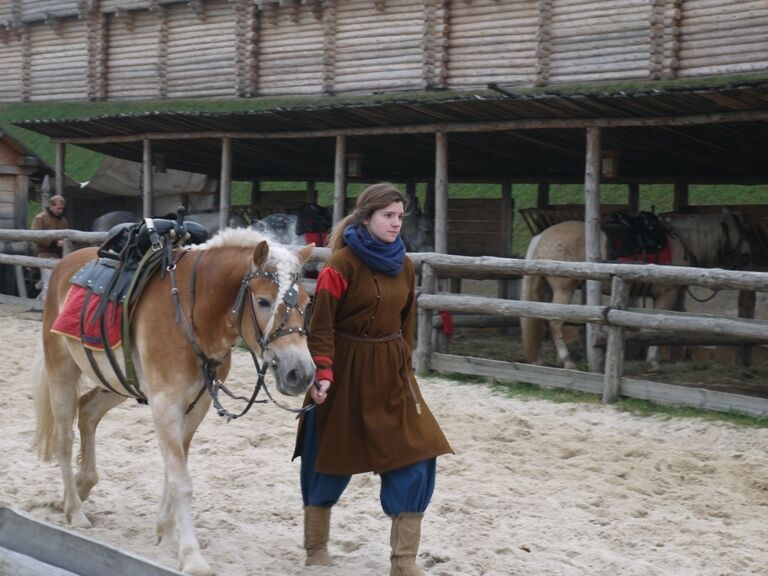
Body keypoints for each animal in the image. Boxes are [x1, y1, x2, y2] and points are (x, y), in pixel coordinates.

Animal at [31, 227, 316, 572]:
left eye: (307, 302)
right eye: (263, 301)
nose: (300, 373)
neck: (194, 316)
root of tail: (65, 264)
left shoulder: (197, 406)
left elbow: (173, 471)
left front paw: (166, 532)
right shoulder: (165, 405)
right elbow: (181, 480)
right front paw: (192, 556)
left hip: (116, 382)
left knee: (87, 412)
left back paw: (83, 485)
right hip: (62, 370)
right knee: (64, 439)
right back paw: (74, 510)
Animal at [520, 210, 752, 368]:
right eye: (742, 229)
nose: (747, 255)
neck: (681, 242)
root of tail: (542, 236)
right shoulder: (666, 293)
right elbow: (657, 327)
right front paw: (653, 362)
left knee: (537, 316)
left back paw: (539, 359)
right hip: (564, 288)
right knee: (555, 322)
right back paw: (568, 361)